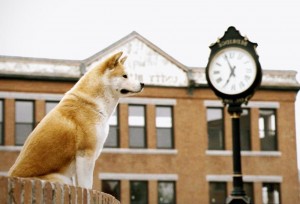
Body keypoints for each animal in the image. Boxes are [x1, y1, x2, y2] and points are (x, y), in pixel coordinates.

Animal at [8, 51, 145, 189]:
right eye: (125, 76)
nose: (143, 84)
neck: (92, 104)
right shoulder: (85, 154)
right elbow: (87, 186)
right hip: (62, 179)